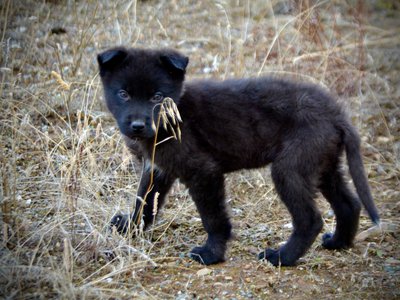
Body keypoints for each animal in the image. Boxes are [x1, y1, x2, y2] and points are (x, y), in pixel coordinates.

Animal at [97, 47, 378, 268]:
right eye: (123, 94)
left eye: (157, 97)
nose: (137, 126)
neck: (175, 116)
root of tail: (336, 114)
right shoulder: (158, 168)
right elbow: (144, 202)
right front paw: (129, 229)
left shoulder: (203, 171)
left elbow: (213, 218)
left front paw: (211, 254)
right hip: (323, 166)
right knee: (349, 204)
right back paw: (338, 243)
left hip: (291, 169)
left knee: (310, 219)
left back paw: (281, 257)